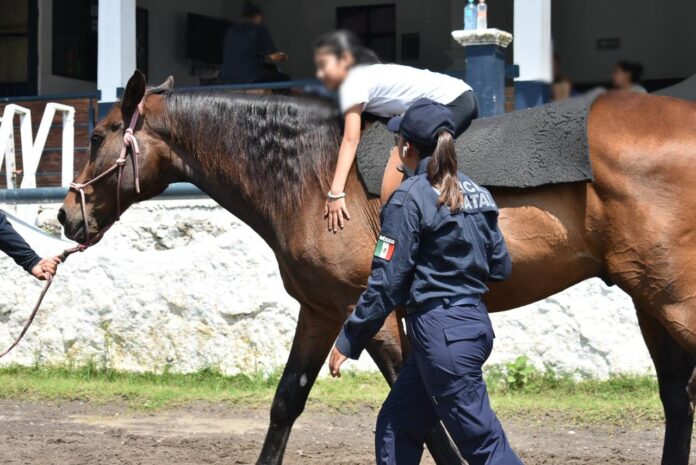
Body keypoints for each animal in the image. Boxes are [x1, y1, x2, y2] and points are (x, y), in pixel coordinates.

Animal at [58, 71, 696, 465]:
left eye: (99, 134)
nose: (66, 215)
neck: (310, 176)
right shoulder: (322, 312)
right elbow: (286, 402)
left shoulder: (378, 316)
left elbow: (428, 421)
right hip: (651, 302)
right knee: (676, 401)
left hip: (672, 300)